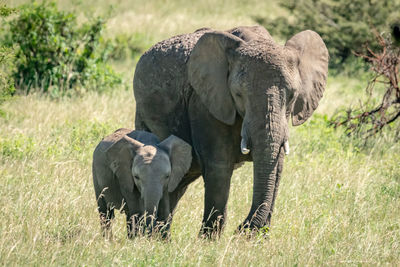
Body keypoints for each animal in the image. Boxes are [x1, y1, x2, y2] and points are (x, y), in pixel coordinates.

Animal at [133, 26, 326, 238]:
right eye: (239, 94)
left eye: (292, 95)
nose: (240, 229)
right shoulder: (205, 104)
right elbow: (219, 166)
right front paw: (209, 240)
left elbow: (277, 166)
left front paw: (259, 239)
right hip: (143, 116)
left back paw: (159, 236)